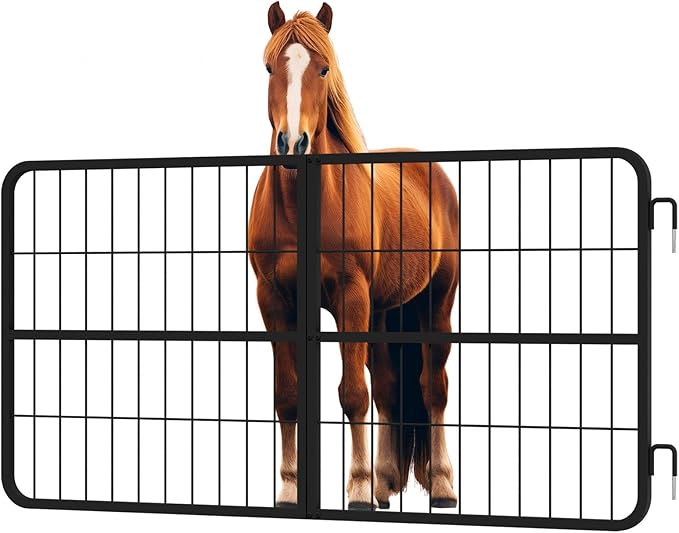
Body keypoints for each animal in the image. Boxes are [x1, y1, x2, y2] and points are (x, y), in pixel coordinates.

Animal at [248, 3, 459, 510]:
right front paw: (289, 489)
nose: (293, 144)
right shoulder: (274, 302)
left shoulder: (351, 296)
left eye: (324, 69)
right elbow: (289, 396)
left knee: (433, 388)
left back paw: (441, 485)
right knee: (388, 387)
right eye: (269, 68)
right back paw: (386, 482)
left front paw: (358, 488)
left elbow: (352, 395)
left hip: (436, 303)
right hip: (382, 313)